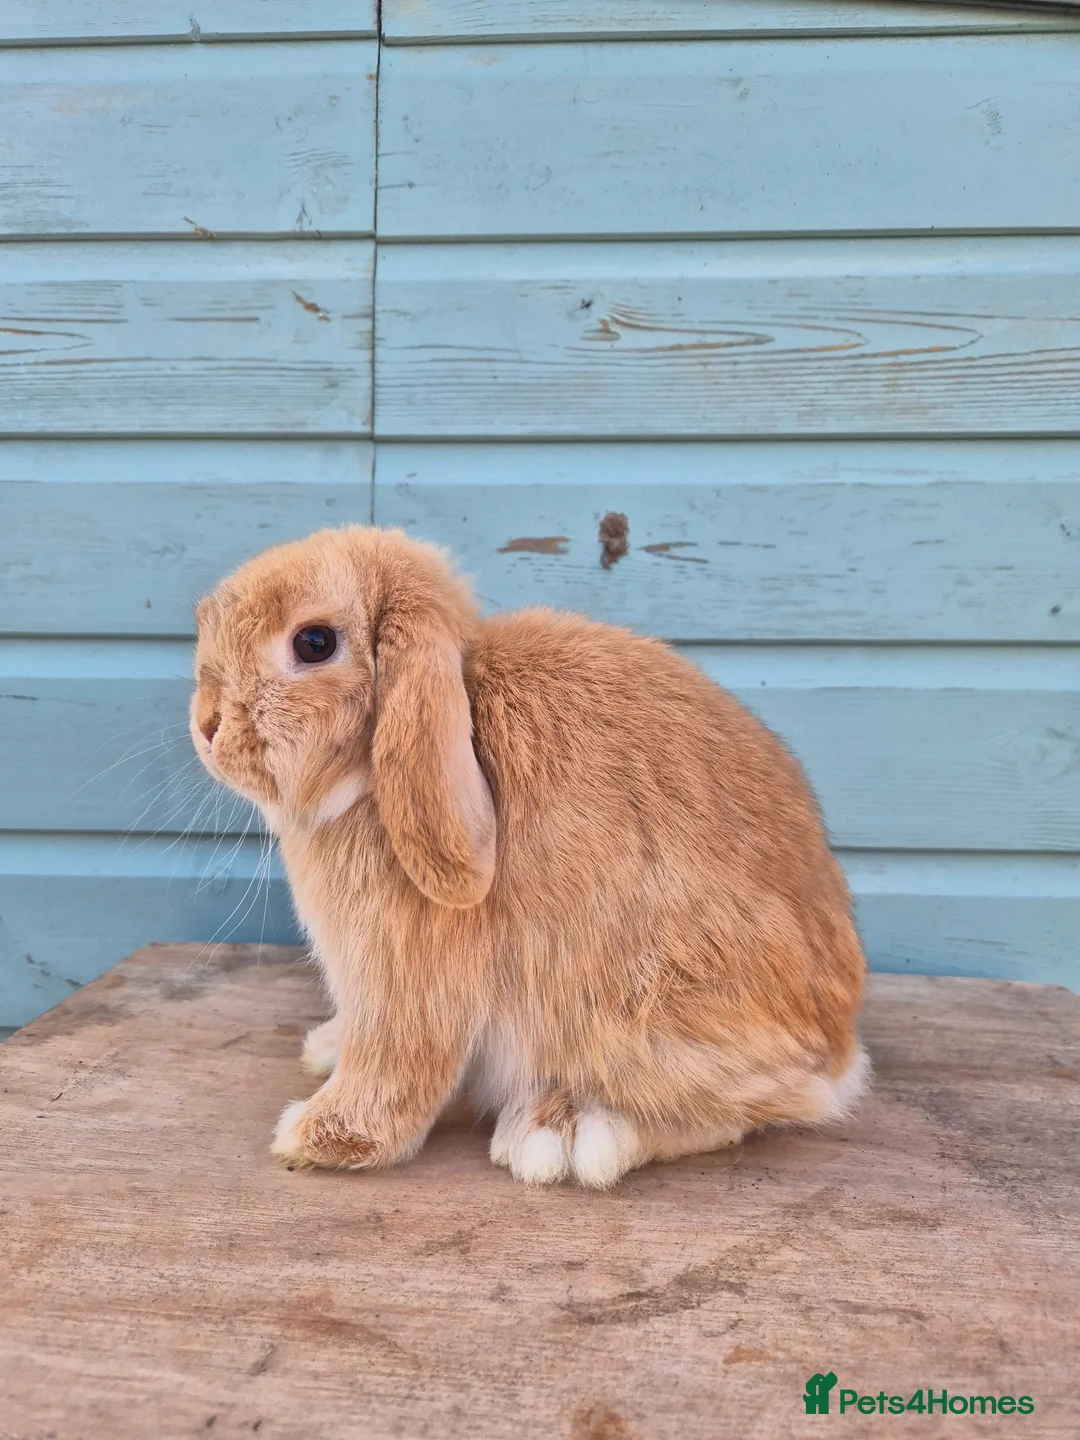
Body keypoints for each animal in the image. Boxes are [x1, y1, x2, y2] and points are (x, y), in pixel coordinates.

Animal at [190, 525, 868, 1189]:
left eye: (314, 643)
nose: (206, 725)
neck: (371, 768)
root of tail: (837, 1052)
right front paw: (327, 1050)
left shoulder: (410, 975)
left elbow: (397, 1066)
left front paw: (312, 1136)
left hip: (637, 1018)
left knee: (744, 1109)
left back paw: (563, 1131)